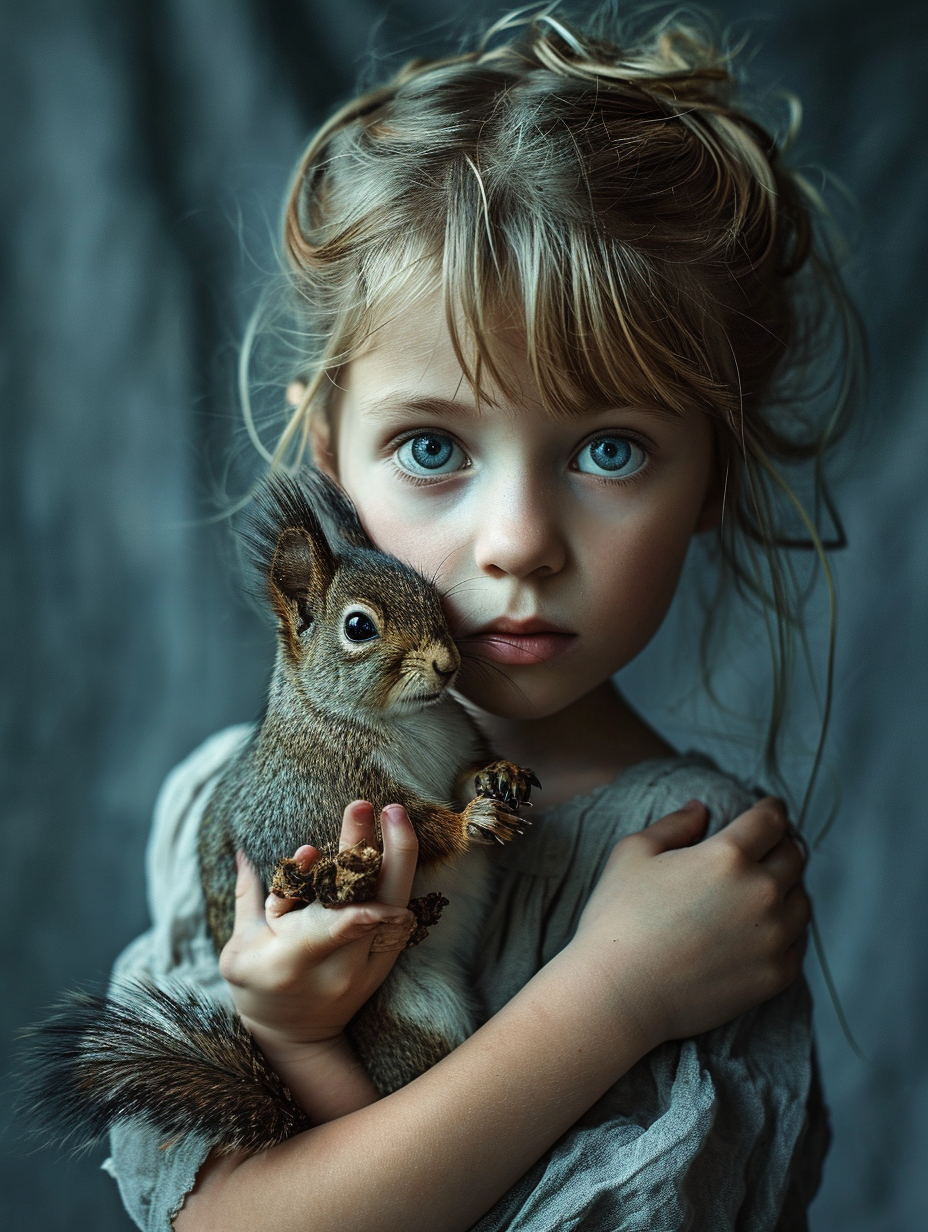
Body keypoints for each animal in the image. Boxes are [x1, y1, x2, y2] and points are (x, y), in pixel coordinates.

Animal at [23, 468, 534, 1153]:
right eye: (359, 627)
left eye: (434, 597)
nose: (448, 663)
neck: (407, 721)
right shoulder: (316, 798)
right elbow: (421, 828)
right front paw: (468, 821)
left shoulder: (451, 748)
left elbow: (465, 775)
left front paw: (499, 775)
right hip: (415, 1014)